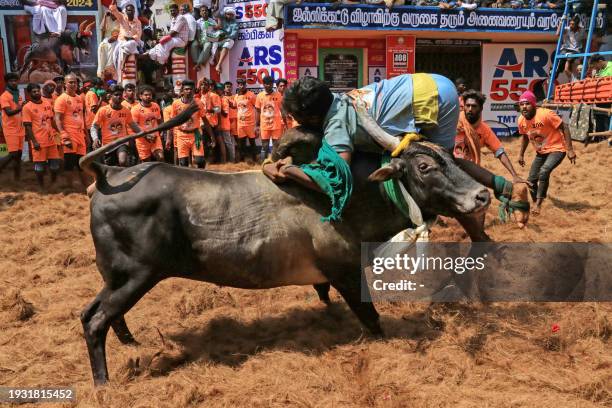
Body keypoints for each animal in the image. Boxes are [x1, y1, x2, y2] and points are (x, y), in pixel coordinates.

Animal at [81, 128, 490, 386]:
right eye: (425, 167)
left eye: (451, 157)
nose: (482, 195)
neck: (351, 197)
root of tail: (108, 172)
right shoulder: (346, 272)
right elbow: (371, 318)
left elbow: (325, 295)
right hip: (136, 276)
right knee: (96, 321)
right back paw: (103, 384)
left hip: (117, 277)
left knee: (94, 313)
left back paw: (131, 346)